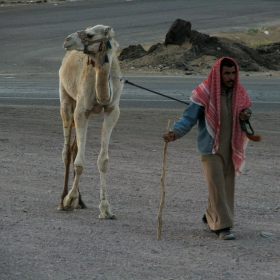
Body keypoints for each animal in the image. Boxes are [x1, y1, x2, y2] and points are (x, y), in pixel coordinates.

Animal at [57, 25, 123, 220]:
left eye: (91, 34)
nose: (67, 39)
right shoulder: (81, 111)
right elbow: (79, 162)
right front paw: (70, 199)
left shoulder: (112, 110)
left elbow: (103, 161)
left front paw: (106, 209)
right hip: (66, 99)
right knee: (67, 152)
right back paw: (62, 200)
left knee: (74, 149)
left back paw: (81, 201)